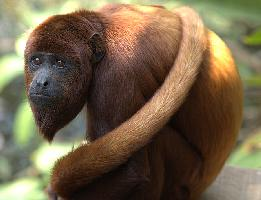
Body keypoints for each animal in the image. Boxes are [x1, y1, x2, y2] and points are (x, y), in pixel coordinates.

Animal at [24, 4, 242, 200]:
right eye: (36, 61)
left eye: (60, 63)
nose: (41, 82)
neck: (103, 36)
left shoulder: (117, 74)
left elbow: (130, 172)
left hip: (187, 178)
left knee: (156, 140)